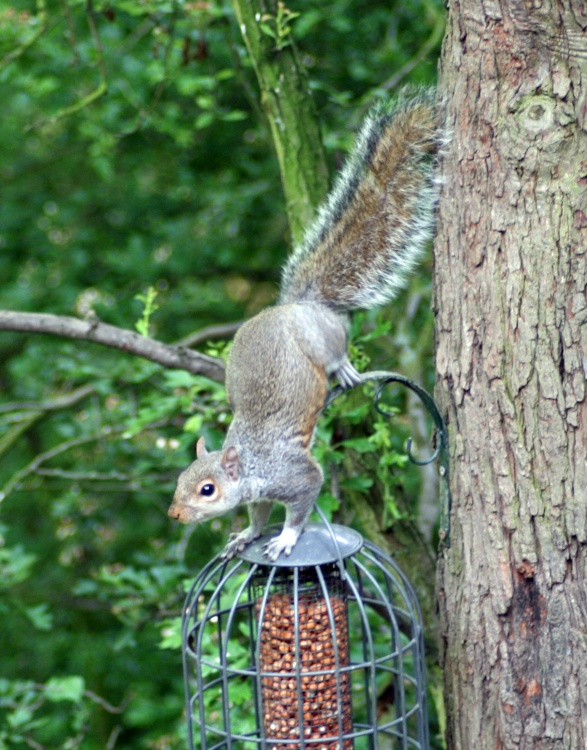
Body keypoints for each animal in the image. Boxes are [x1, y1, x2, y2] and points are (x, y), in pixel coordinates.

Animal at [167, 91, 440, 560]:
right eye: (183, 477)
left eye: (207, 489)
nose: (174, 515)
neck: (252, 463)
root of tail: (295, 305)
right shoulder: (260, 494)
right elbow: (259, 514)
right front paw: (247, 534)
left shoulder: (295, 475)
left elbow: (302, 503)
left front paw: (285, 538)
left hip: (322, 337)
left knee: (335, 351)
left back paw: (344, 369)